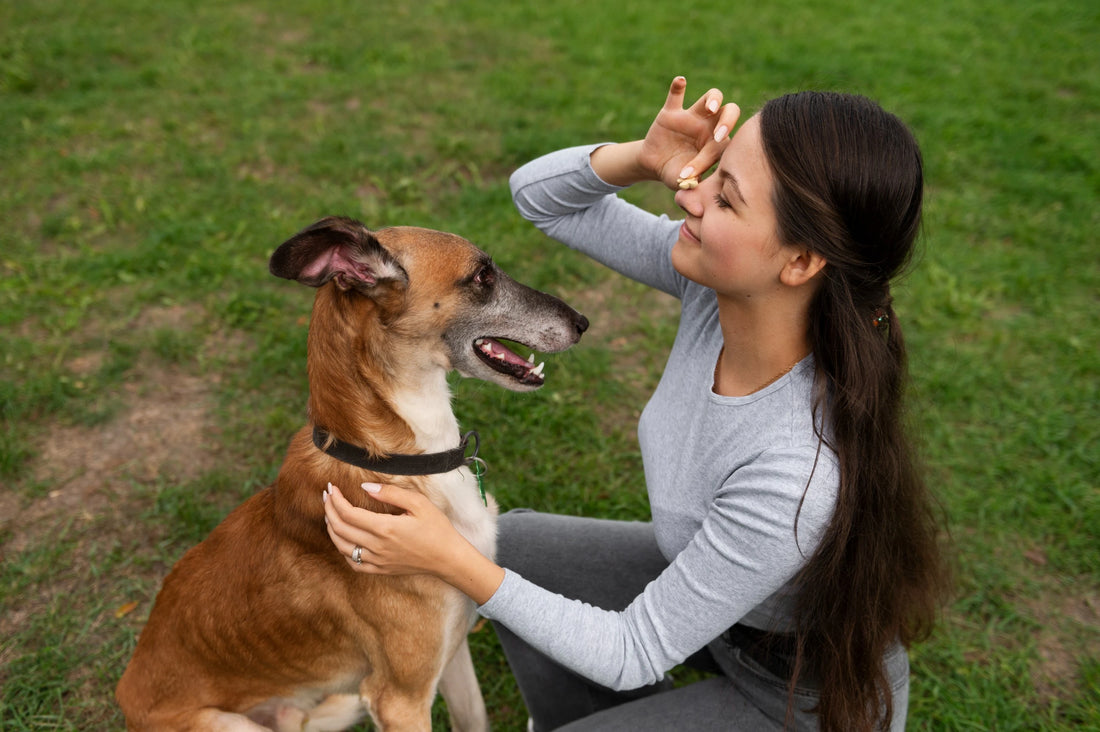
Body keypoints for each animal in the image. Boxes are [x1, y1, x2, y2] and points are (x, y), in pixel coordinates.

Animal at [116, 217, 589, 730]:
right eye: (483, 275)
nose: (582, 323)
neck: (395, 460)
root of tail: (125, 693)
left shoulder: (452, 650)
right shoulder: (400, 697)